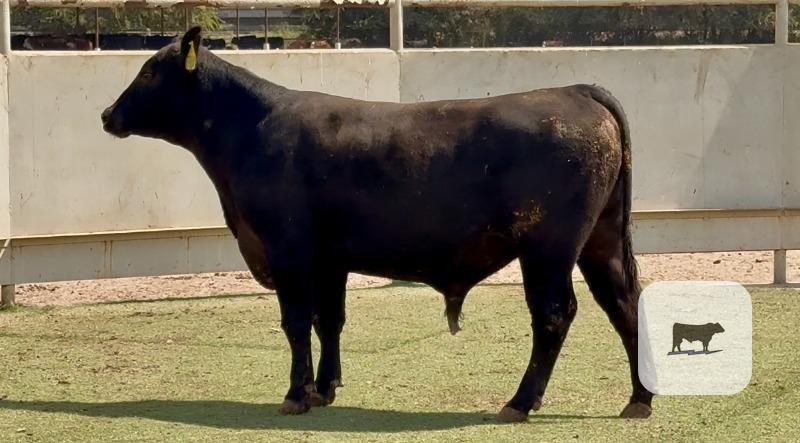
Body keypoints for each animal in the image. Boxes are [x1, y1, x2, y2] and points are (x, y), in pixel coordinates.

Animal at [101, 27, 652, 422]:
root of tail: (576, 90)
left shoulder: (287, 247)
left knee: (555, 315)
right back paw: (639, 399)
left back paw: (519, 402)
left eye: (149, 73)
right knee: (624, 304)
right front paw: (325, 388)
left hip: (549, 247)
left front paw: (296, 393)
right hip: (599, 240)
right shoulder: (328, 258)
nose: (107, 114)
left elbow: (296, 320)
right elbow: (329, 320)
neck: (251, 129)